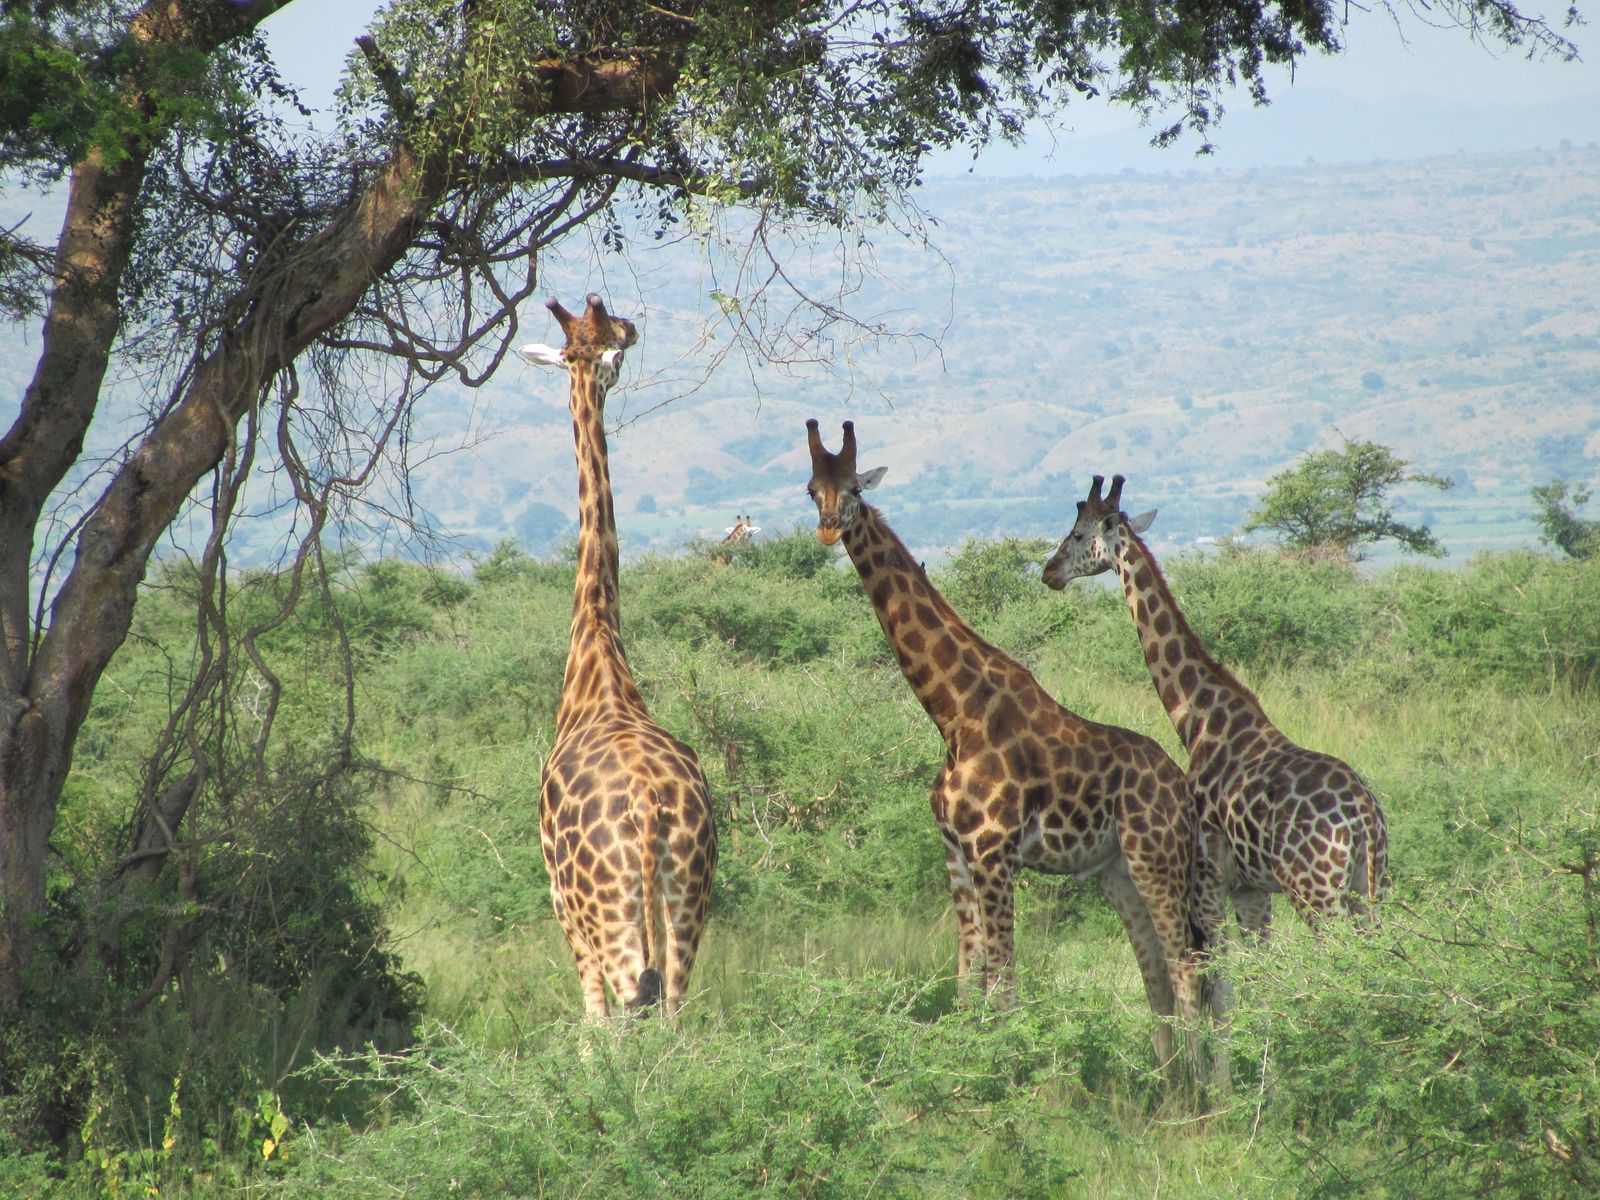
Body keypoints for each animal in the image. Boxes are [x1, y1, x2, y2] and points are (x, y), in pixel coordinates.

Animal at [518, 294, 717, 1020]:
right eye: (611, 341)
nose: (633, 327)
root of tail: (648, 804)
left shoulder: (561, 905)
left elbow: (591, 1021)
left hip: (607, 915)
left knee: (626, 1011)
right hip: (687, 900)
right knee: (676, 1013)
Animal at [805, 420, 1205, 1077]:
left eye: (857, 490)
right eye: (813, 488)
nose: (829, 527)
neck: (955, 714)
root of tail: (1181, 788)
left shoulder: (994, 854)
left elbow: (1004, 986)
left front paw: (1010, 1075)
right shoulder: (955, 855)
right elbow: (968, 985)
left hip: (1158, 860)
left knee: (1188, 966)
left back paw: (1201, 1089)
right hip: (1117, 871)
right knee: (1158, 972)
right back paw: (1167, 1079)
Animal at [1042, 474, 1389, 962]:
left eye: (1076, 534)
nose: (1048, 572)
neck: (1200, 722)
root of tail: (1364, 820)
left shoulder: (1207, 875)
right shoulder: (1249, 886)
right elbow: (1260, 963)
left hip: (1316, 891)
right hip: (1374, 883)